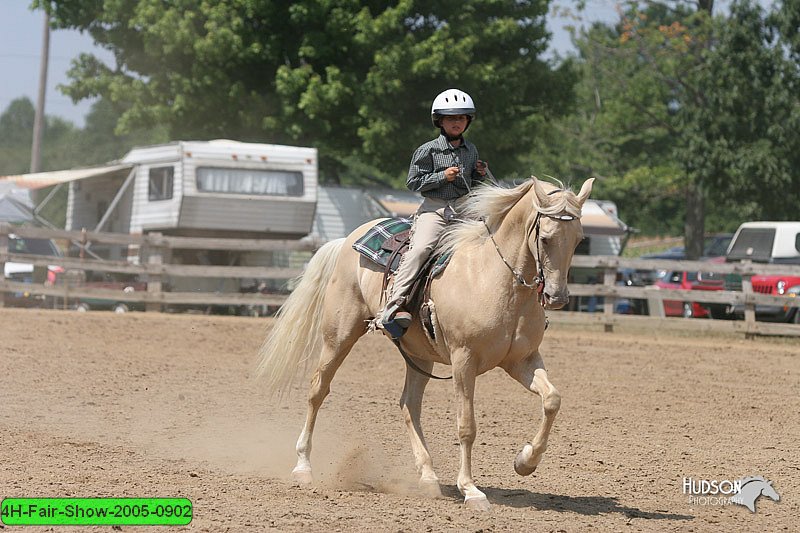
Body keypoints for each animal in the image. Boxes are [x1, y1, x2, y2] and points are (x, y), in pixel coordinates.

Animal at [258, 177, 592, 510]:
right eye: (545, 239)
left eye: (578, 240)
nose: (557, 297)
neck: (494, 278)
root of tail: (346, 241)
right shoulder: (463, 360)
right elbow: (467, 426)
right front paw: (471, 489)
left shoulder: (522, 360)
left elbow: (552, 399)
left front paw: (525, 461)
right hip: (339, 336)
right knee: (318, 390)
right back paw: (303, 467)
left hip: (419, 354)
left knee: (409, 404)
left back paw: (429, 476)